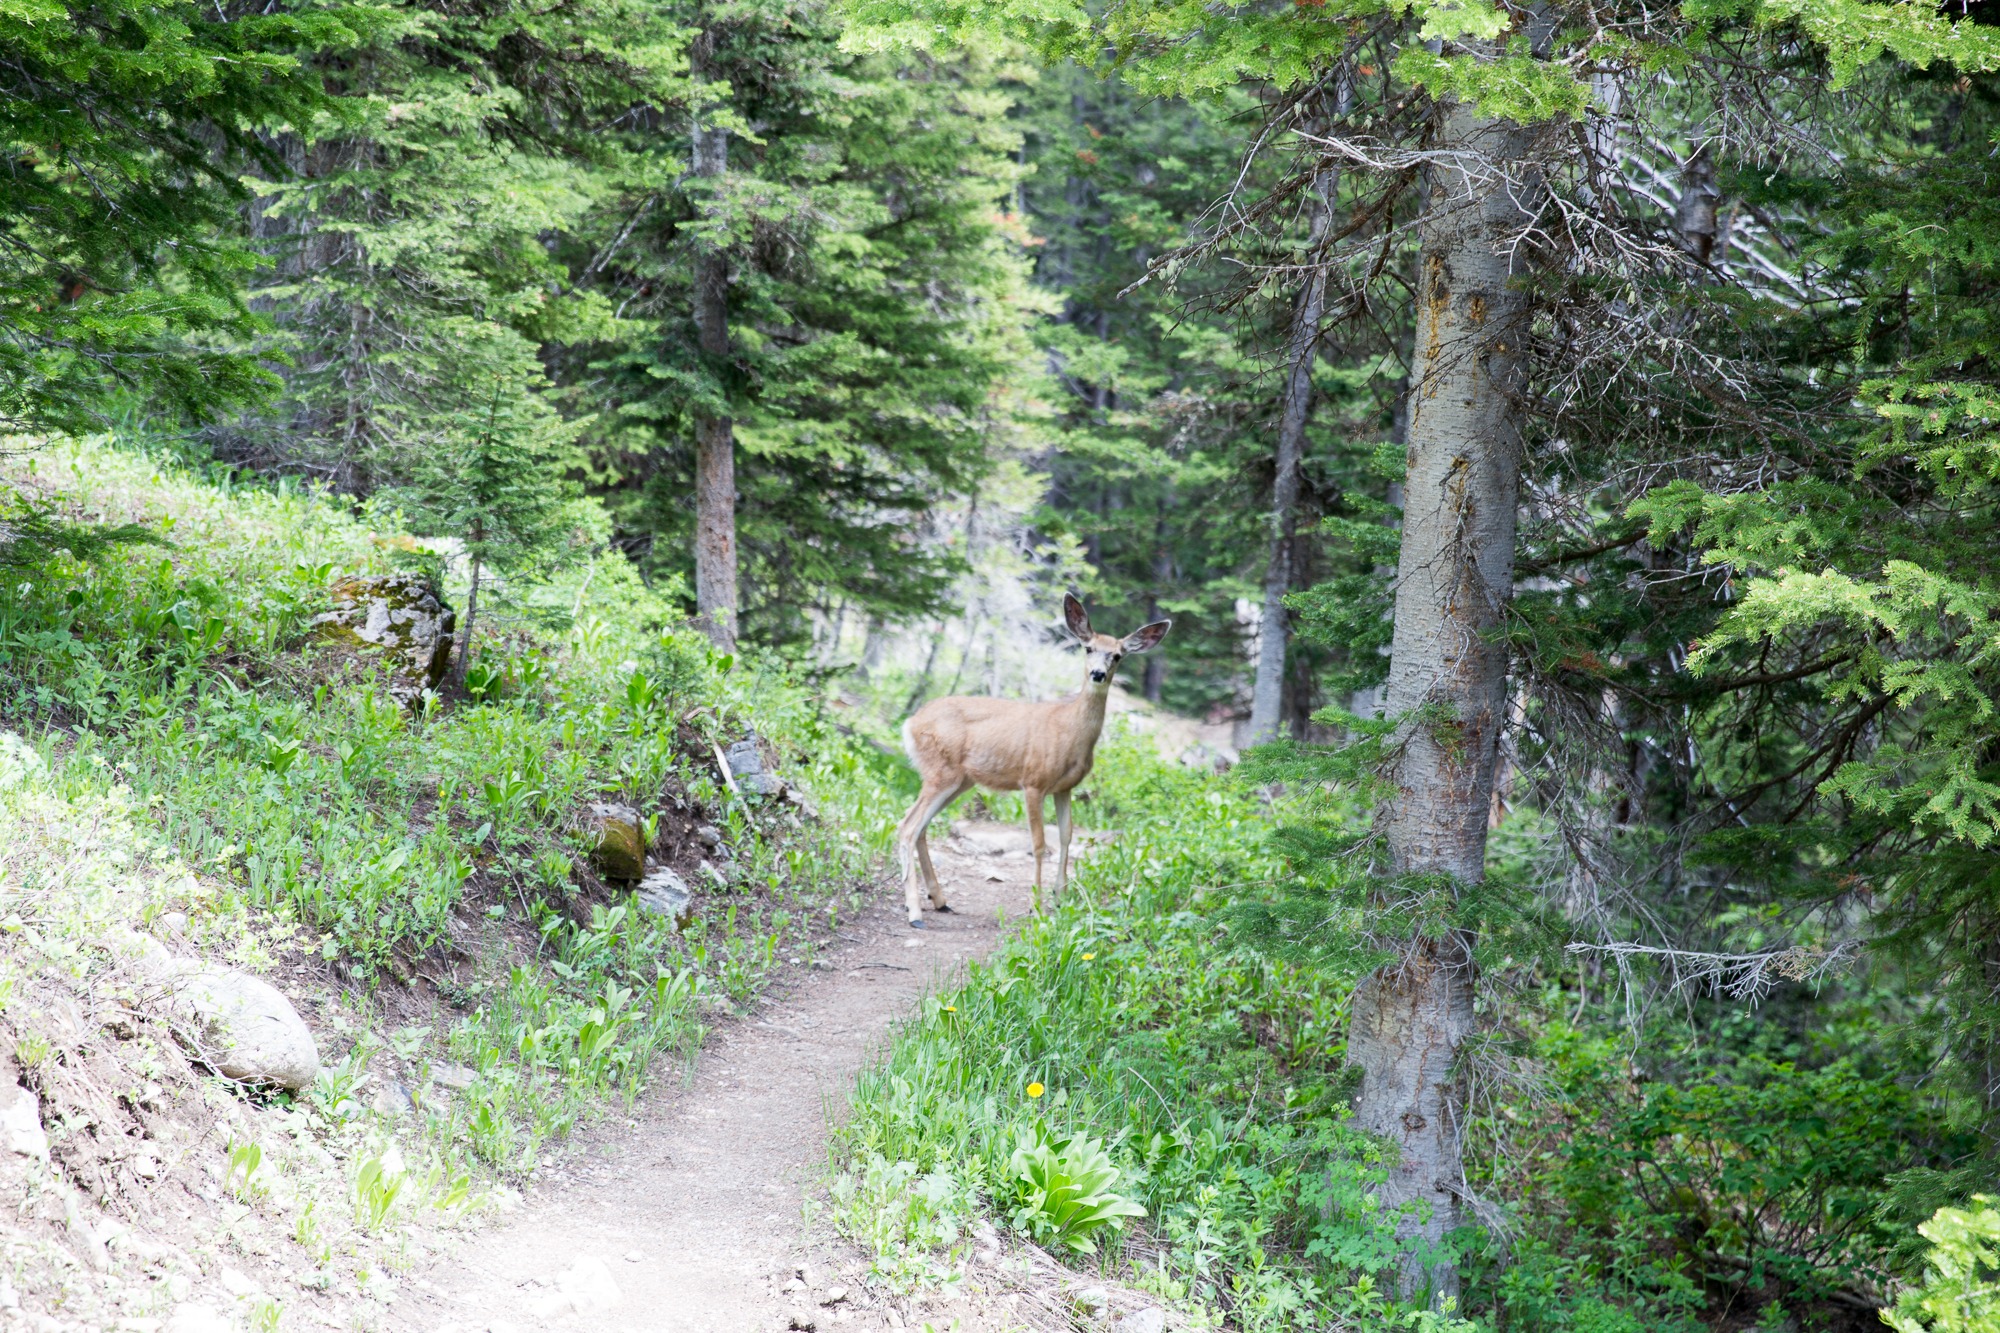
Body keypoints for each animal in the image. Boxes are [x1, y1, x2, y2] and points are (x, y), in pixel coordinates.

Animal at [896, 592, 1168, 924]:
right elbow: (1039, 844)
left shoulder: (1065, 787)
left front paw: (1061, 897)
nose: (1098, 674)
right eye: (1088, 648)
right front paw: (1035, 904)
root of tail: (910, 723)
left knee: (919, 826)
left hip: (959, 780)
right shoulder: (1033, 782)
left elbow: (1066, 836)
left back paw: (939, 900)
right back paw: (914, 911)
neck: (1070, 731)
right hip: (941, 770)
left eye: (1117, 655)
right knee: (907, 826)